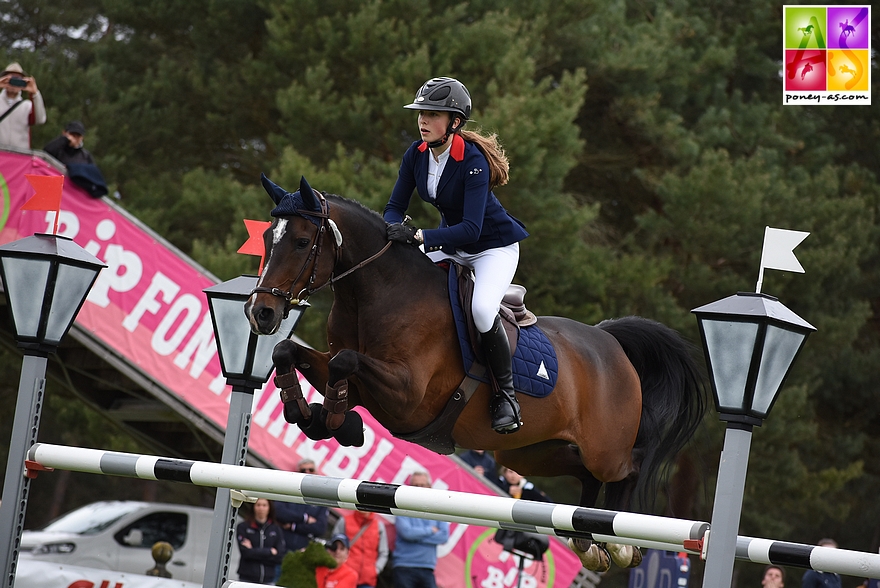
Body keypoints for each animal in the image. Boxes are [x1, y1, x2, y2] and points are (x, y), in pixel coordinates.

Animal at [242, 175, 708, 568]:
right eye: (266, 236)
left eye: (302, 241)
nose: (260, 312)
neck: (377, 292)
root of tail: (609, 341)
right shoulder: (361, 385)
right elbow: (289, 352)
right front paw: (311, 415)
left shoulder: (408, 395)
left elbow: (345, 362)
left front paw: (338, 422)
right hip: (524, 453)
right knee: (581, 473)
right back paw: (586, 541)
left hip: (605, 450)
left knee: (628, 468)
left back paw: (621, 544)